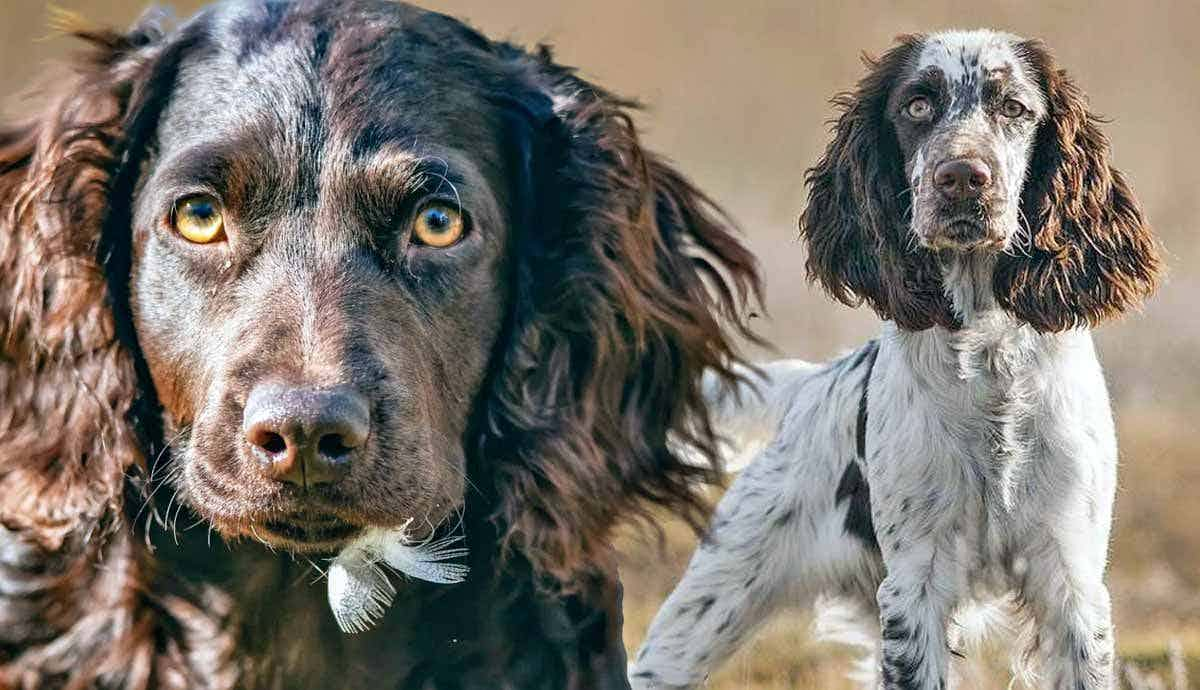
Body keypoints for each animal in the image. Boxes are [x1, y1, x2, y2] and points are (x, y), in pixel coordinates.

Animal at [628, 29, 1161, 686]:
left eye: (1014, 107)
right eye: (917, 105)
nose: (962, 176)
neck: (987, 359)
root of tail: (812, 386)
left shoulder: (1072, 583)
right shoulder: (915, 585)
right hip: (713, 598)